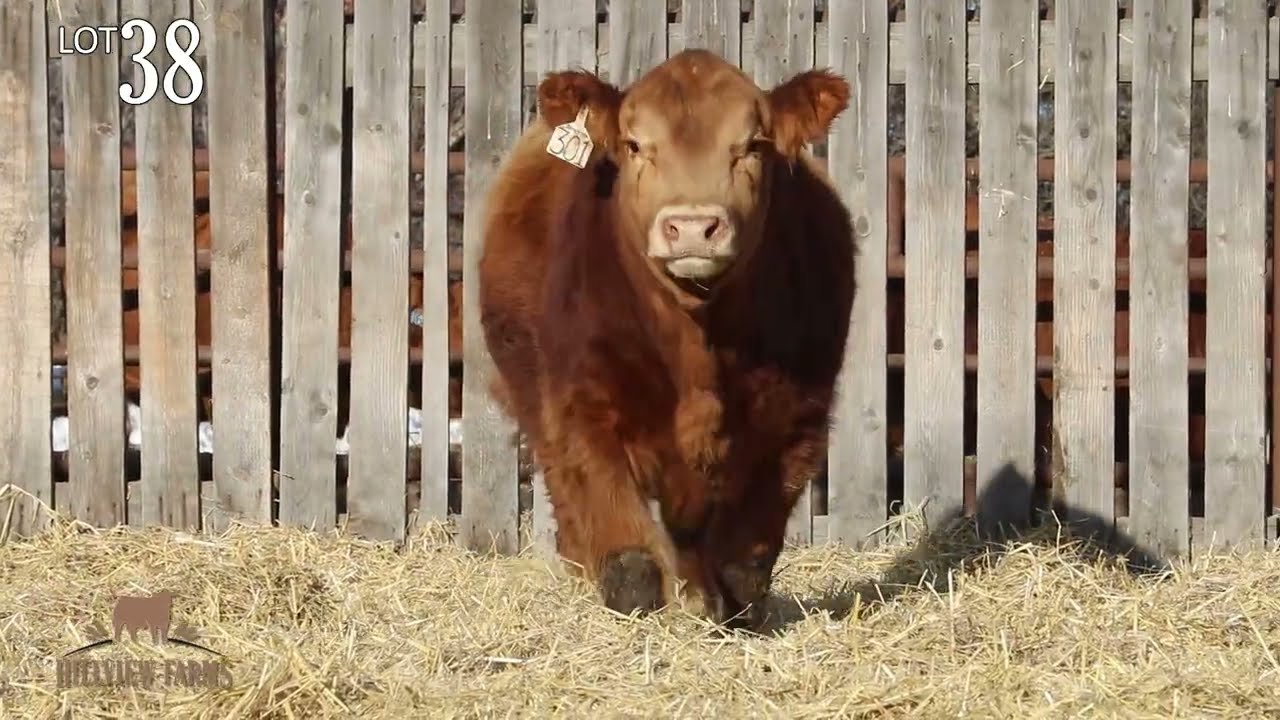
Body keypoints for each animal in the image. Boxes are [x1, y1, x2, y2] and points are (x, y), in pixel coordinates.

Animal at [477, 49, 856, 627]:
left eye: (753, 145)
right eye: (635, 145)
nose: (694, 227)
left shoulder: (797, 421)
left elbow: (745, 563)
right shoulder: (586, 410)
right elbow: (630, 564)